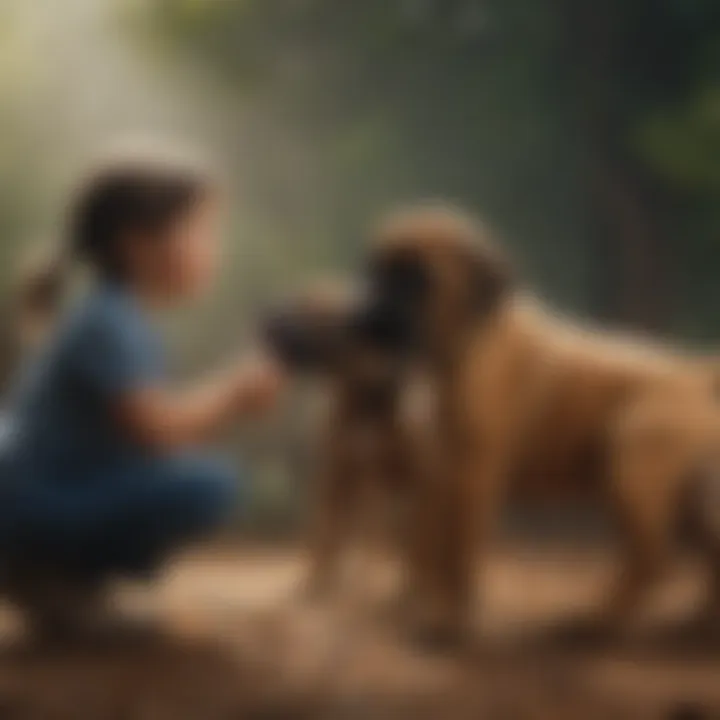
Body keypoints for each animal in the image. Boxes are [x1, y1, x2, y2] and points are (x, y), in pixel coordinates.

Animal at [262, 280, 436, 600]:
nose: (264, 315)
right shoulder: (335, 476)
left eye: (307, 310)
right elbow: (325, 535)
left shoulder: (386, 478)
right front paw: (316, 584)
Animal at [352, 202, 720, 640]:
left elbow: (457, 552)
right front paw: (419, 605)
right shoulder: (442, 469)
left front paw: (451, 622)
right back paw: (697, 622)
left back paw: (597, 622)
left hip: (632, 471)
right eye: (376, 272)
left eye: (414, 279)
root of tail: (697, 374)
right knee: (705, 550)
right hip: (685, 495)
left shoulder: (472, 473)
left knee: (653, 558)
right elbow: (429, 544)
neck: (467, 345)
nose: (360, 321)